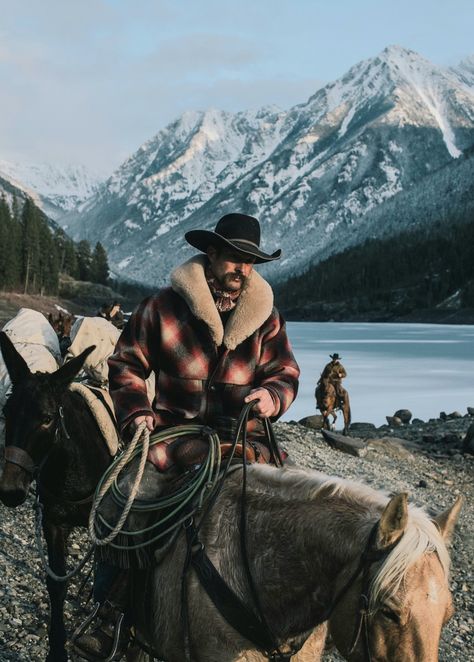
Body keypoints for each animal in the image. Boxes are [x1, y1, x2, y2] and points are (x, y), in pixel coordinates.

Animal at [0, 332, 111, 662]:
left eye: (48, 418)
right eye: (6, 412)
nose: (10, 491)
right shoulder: (53, 522)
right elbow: (56, 584)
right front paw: (57, 648)